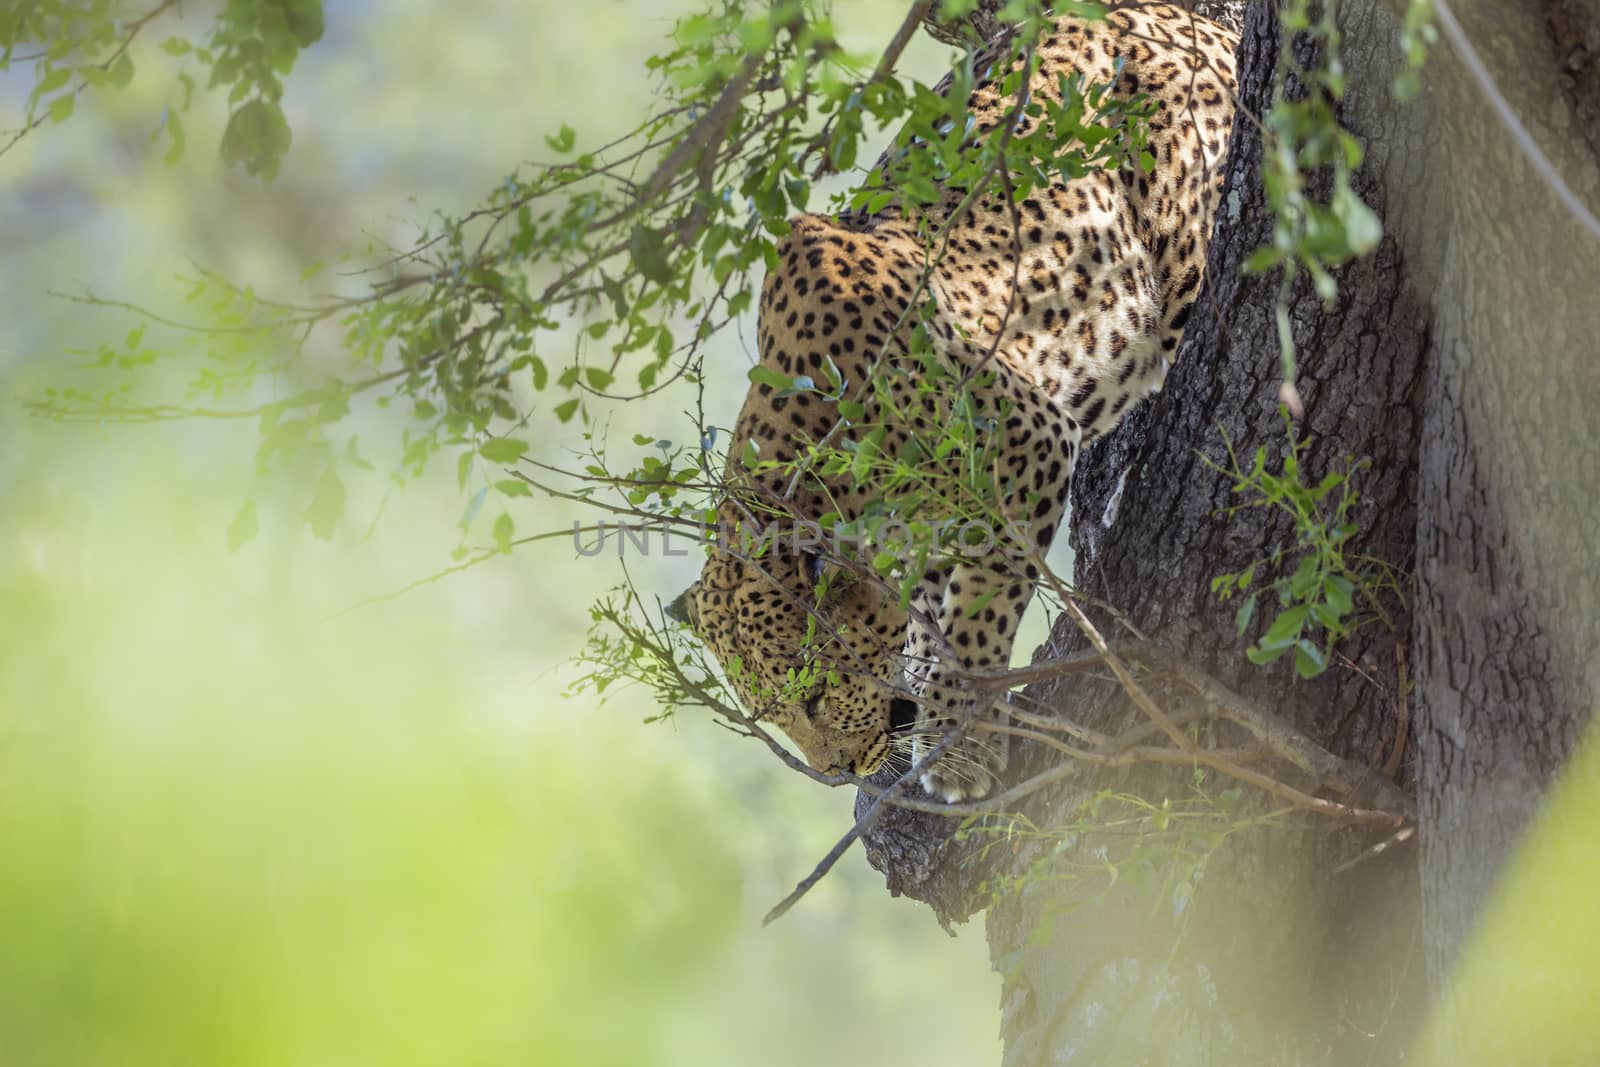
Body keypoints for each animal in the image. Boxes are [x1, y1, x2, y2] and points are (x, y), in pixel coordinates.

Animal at [662, 2, 1235, 799]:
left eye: (815, 695)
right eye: (771, 711)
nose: (836, 772)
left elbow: (980, 602)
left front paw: (962, 739)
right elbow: (930, 605)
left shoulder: (1027, 440)